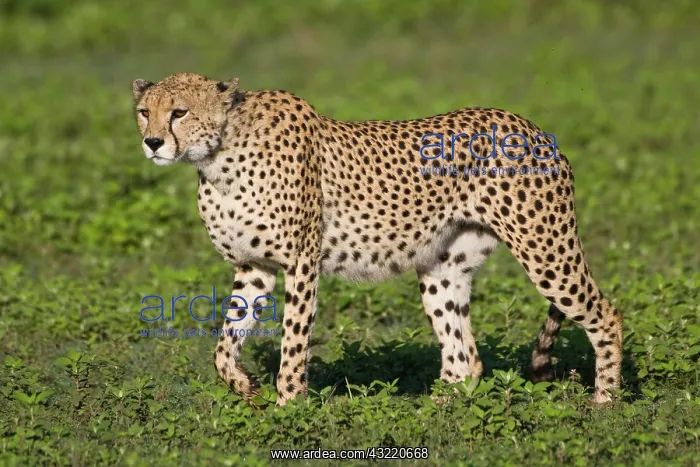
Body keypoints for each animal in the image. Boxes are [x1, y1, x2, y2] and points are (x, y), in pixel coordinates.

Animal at [132, 72, 623, 406]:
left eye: (179, 112)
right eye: (144, 112)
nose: (152, 142)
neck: (219, 155)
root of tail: (534, 129)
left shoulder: (301, 263)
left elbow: (293, 342)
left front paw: (289, 405)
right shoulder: (255, 268)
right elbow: (224, 343)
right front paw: (242, 384)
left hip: (546, 249)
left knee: (606, 315)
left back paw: (606, 403)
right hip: (442, 269)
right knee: (464, 358)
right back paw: (433, 412)